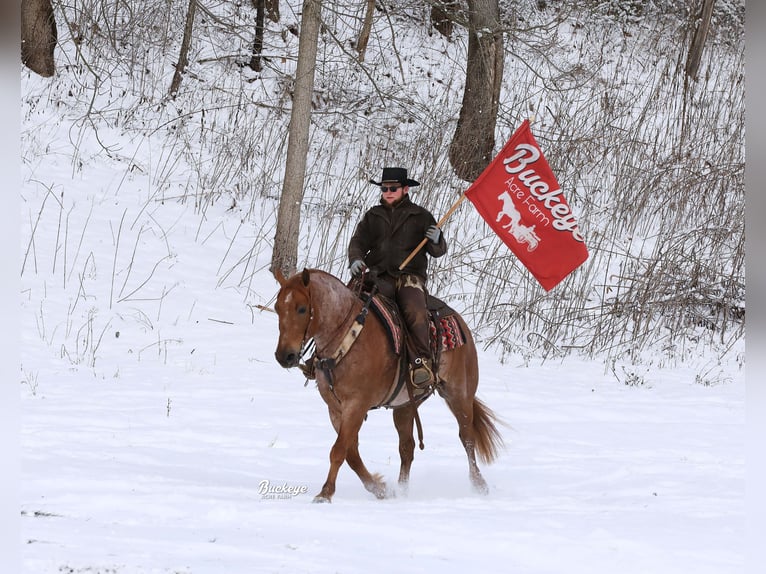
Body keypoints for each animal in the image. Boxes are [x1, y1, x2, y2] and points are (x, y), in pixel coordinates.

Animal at [276, 270, 504, 504]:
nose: (284, 356)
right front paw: (381, 489)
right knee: (407, 447)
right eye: (277, 308)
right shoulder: (335, 408)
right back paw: (402, 491)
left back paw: (479, 485)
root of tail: (459, 321)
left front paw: (325, 494)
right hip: (406, 406)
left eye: (302, 308)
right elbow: (351, 454)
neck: (349, 336)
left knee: (467, 438)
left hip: (459, 394)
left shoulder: (357, 405)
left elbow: (339, 450)